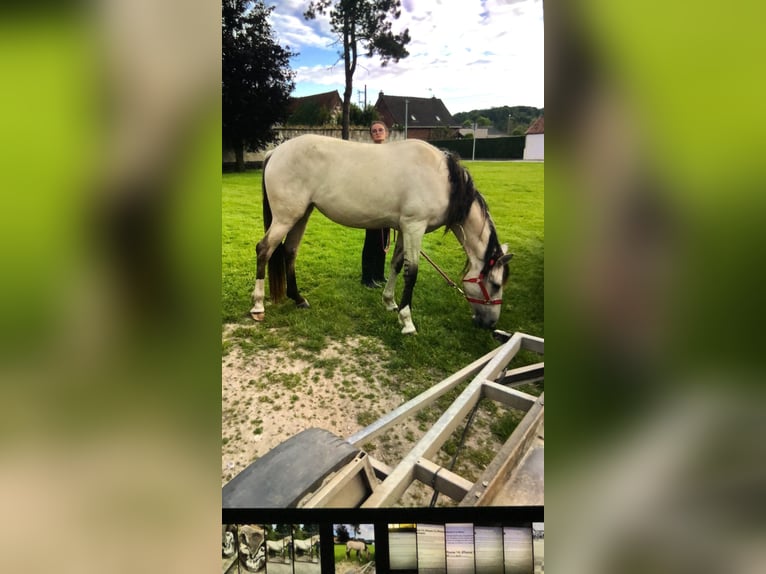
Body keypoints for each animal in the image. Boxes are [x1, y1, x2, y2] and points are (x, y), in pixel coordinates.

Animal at [254, 134, 516, 336]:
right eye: (494, 284)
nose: (490, 324)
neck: (443, 180)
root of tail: (275, 152)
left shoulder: (402, 228)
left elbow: (397, 265)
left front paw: (390, 303)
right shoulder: (414, 227)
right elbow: (412, 273)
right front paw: (407, 322)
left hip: (301, 215)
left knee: (289, 251)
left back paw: (298, 299)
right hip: (285, 217)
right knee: (264, 249)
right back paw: (257, 307)